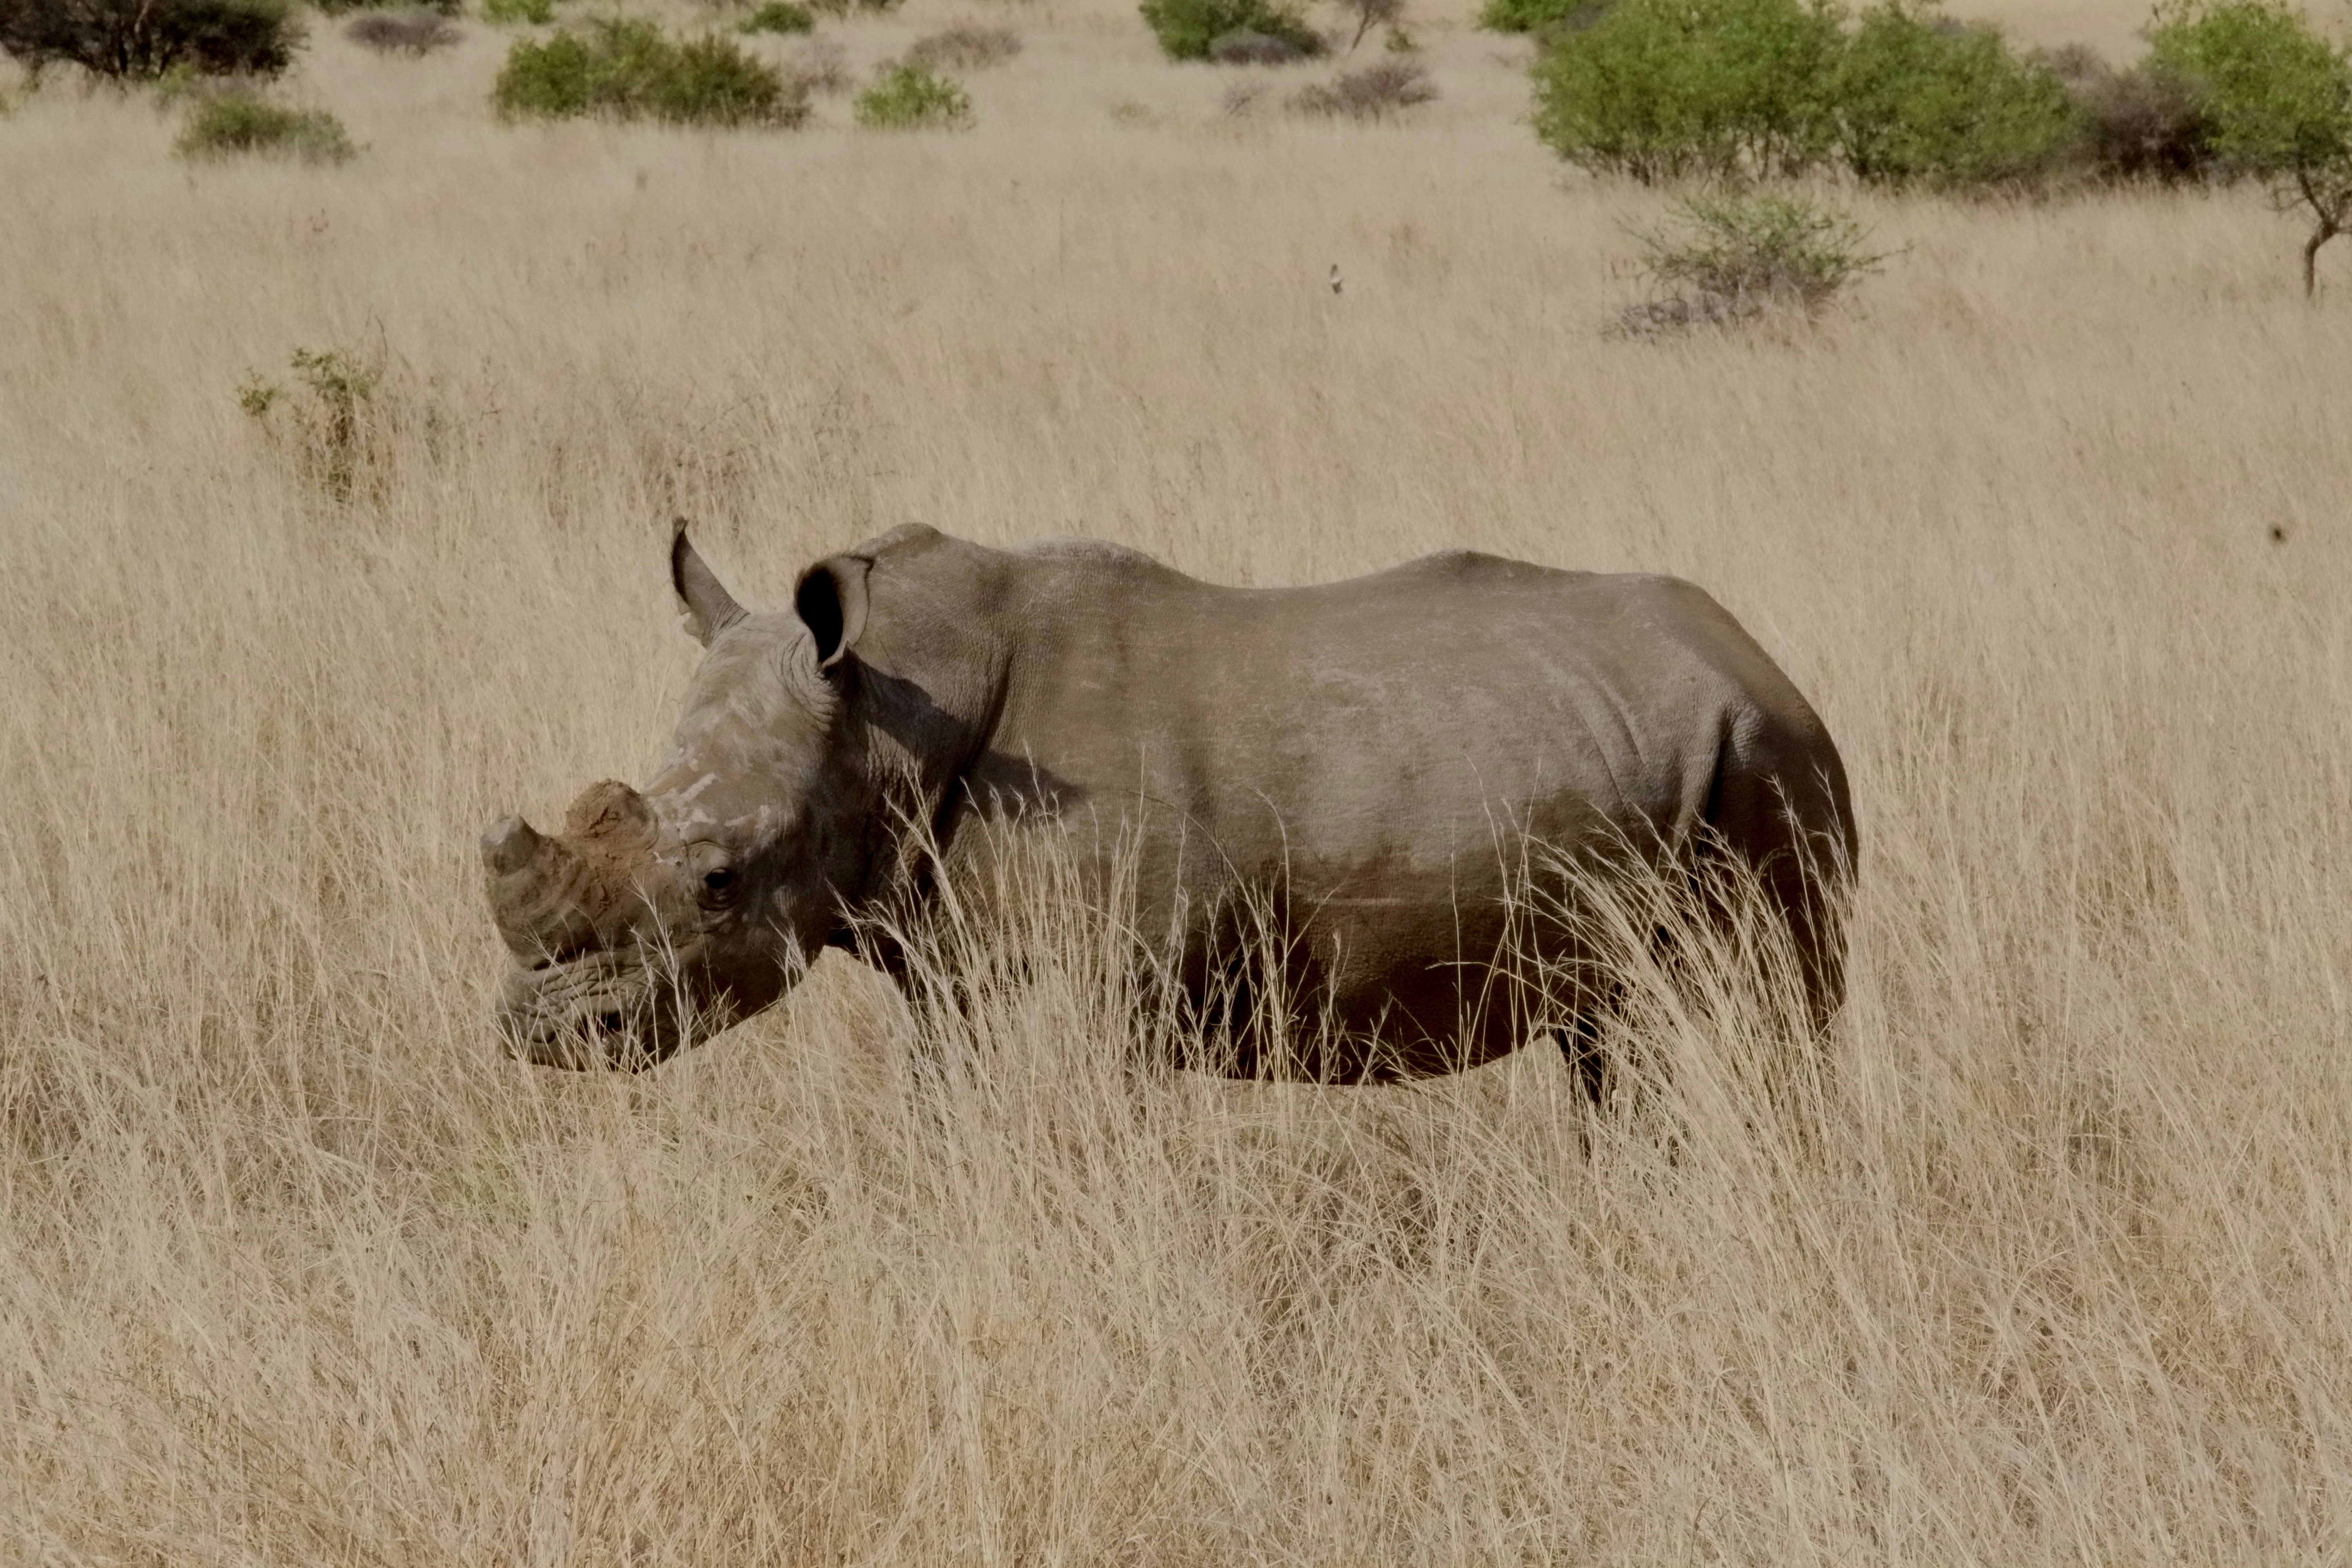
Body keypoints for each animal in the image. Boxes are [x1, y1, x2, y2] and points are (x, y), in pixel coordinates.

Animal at [483, 524, 1855, 1085]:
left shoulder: (1103, 980)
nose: (544, 1037)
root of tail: (1759, 657)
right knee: (1614, 1038)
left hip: (1768, 760)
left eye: (718, 883)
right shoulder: (956, 967)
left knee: (1761, 1019)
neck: (885, 711)